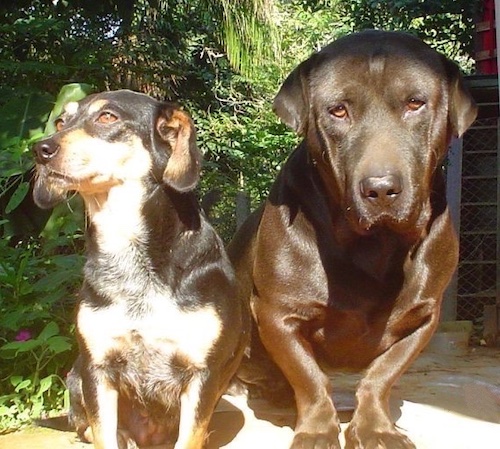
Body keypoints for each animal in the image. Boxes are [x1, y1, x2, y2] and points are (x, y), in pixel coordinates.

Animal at [32, 90, 249, 448]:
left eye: (107, 117)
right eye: (61, 121)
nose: (40, 150)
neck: (127, 248)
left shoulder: (202, 374)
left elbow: (190, 437)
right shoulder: (97, 368)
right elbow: (103, 433)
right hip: (76, 375)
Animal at [229, 30, 478, 448]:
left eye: (415, 103)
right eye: (338, 111)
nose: (380, 188)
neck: (374, 245)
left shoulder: (422, 318)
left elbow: (382, 376)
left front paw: (375, 426)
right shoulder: (278, 314)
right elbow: (310, 379)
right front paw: (317, 428)